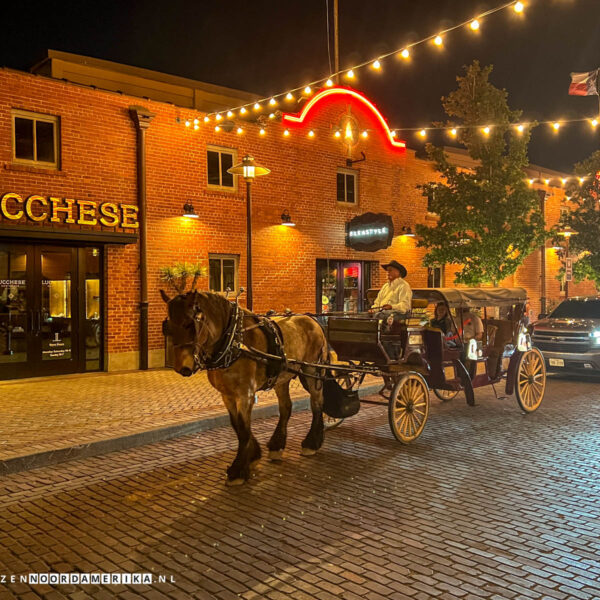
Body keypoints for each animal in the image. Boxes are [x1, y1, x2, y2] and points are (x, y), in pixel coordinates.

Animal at [161, 290, 328, 482]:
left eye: (190, 324)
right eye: (168, 326)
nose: (183, 368)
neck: (234, 341)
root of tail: (313, 320)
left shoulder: (245, 393)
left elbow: (243, 427)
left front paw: (238, 469)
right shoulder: (227, 394)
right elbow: (238, 426)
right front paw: (253, 456)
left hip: (312, 370)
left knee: (317, 404)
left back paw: (311, 443)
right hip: (282, 377)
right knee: (286, 407)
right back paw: (277, 445)